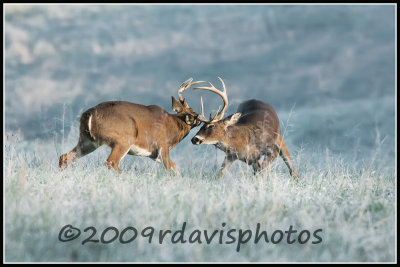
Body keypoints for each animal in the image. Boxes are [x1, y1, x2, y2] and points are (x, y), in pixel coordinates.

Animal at [59, 78, 206, 174]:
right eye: (194, 114)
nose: (201, 119)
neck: (173, 126)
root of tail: (90, 114)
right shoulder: (163, 145)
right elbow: (170, 169)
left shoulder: (152, 154)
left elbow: (175, 168)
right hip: (123, 139)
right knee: (111, 162)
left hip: (88, 141)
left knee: (65, 156)